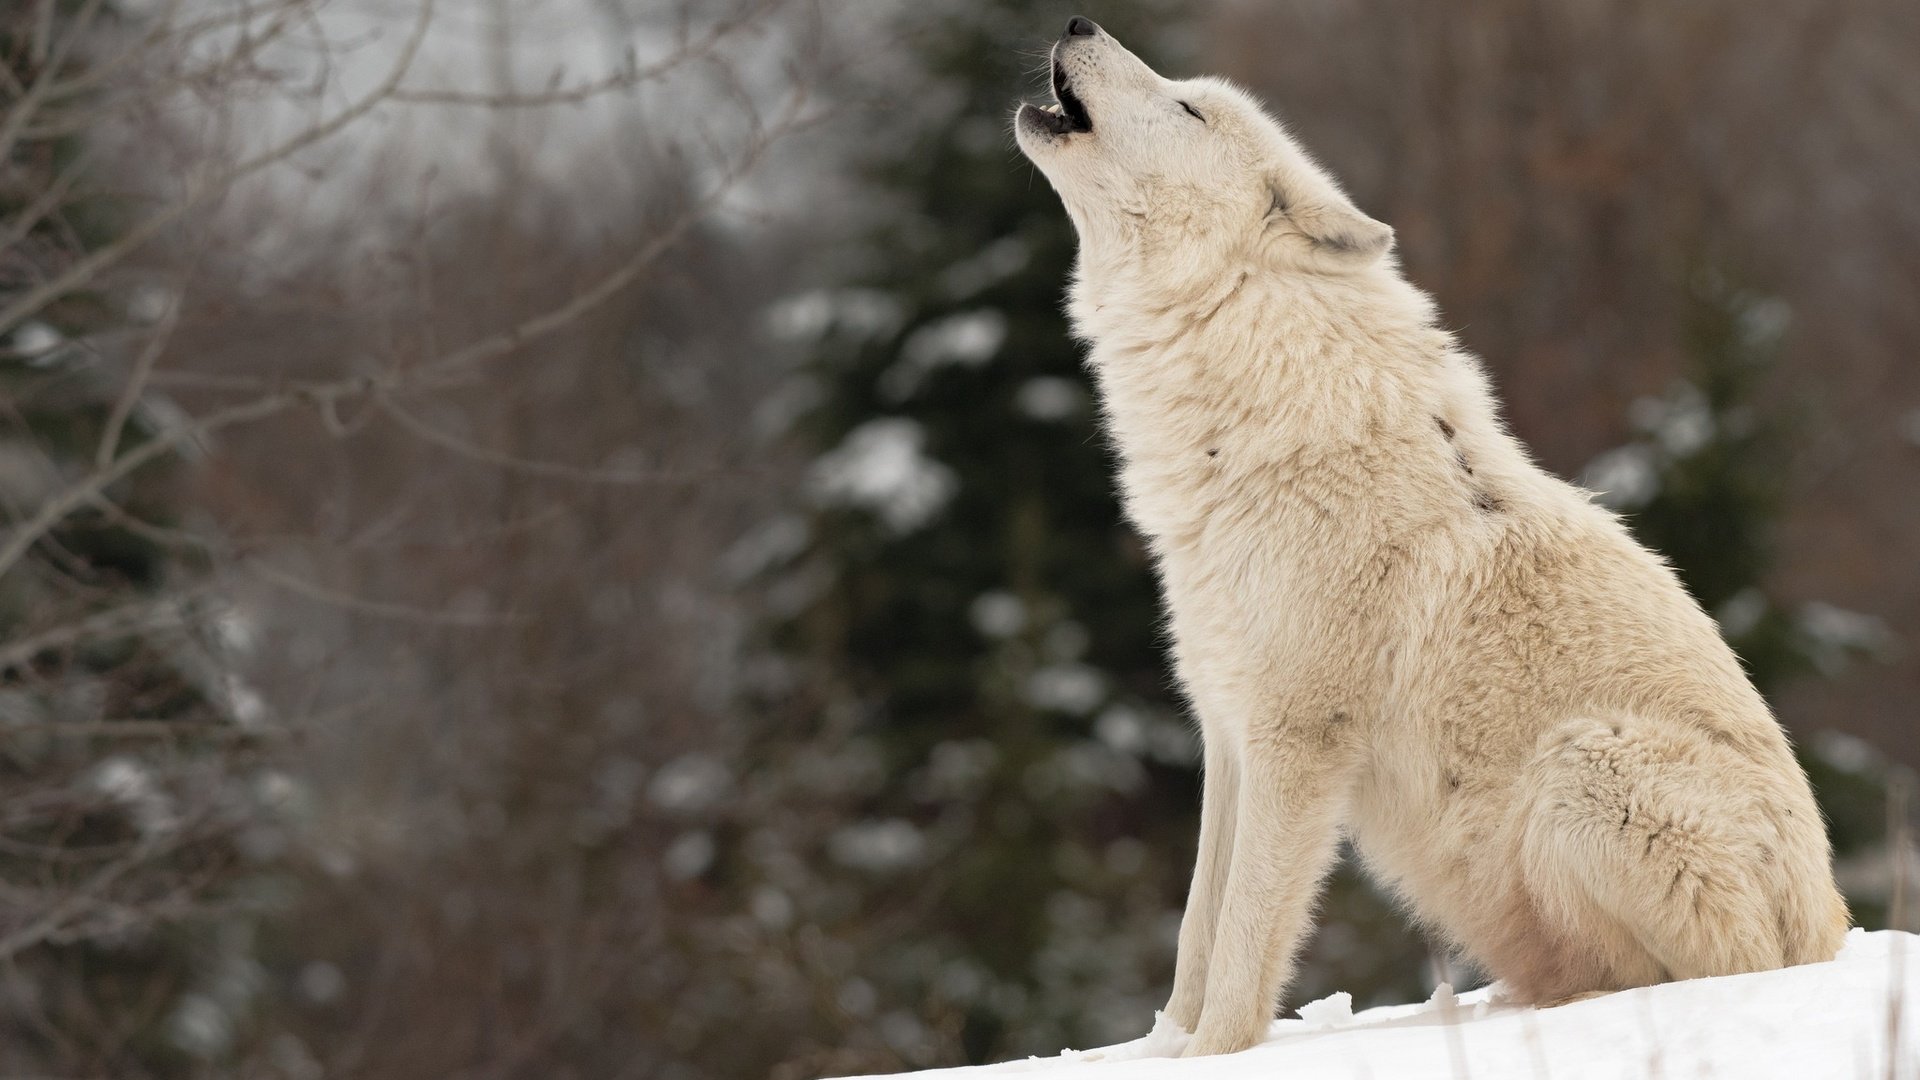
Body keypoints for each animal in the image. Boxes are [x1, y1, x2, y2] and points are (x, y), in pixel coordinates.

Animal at [1013, 16, 1850, 1053]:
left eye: (1187, 107)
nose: (1079, 22)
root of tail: (1829, 931)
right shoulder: (1227, 725)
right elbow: (1196, 931)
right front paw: (1166, 1051)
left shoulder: (1296, 736)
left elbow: (1244, 940)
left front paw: (1216, 1055)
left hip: (1587, 764)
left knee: (1692, 973)